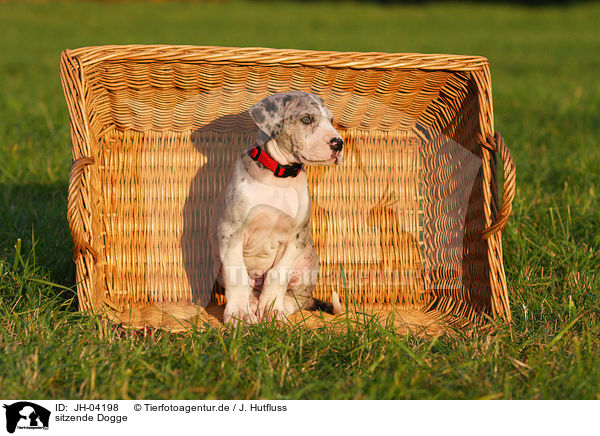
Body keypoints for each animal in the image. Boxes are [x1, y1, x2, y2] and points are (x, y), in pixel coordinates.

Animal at [212, 92, 342, 324]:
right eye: (306, 119)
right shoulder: (230, 232)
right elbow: (237, 274)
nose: (339, 143)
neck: (278, 176)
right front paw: (239, 314)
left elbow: (278, 275)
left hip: (308, 264)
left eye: (331, 120)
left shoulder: (296, 237)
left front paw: (271, 310)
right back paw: (252, 302)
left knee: (297, 299)